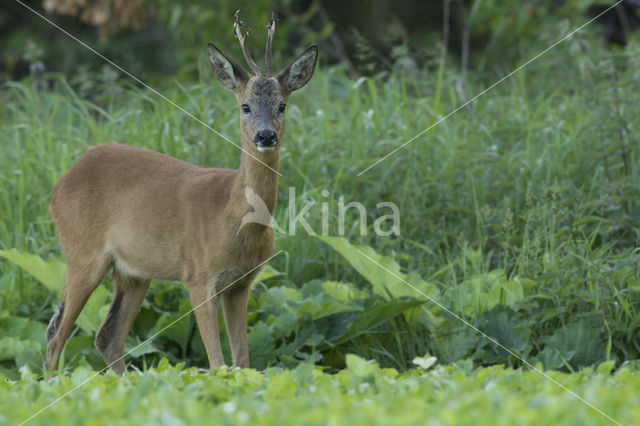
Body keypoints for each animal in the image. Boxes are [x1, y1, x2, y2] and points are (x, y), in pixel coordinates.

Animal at [43, 11, 318, 374]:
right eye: (245, 106)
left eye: (283, 105)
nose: (266, 136)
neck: (234, 217)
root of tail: (60, 183)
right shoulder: (199, 275)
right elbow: (217, 363)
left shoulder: (242, 283)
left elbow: (242, 361)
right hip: (82, 252)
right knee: (56, 334)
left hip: (133, 272)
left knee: (107, 335)